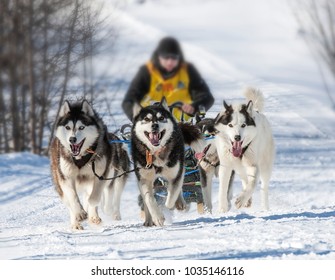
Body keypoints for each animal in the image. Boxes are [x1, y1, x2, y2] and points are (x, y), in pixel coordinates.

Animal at [50, 99, 131, 229]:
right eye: (67, 127)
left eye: (81, 127)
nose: (72, 139)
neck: (81, 157)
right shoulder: (66, 177)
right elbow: (73, 197)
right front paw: (80, 213)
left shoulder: (100, 176)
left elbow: (93, 199)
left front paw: (93, 214)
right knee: (68, 201)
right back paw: (76, 223)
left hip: (117, 179)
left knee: (112, 199)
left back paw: (103, 215)